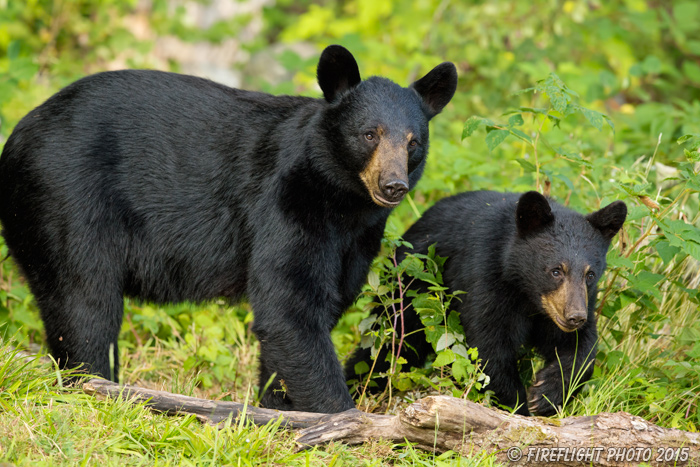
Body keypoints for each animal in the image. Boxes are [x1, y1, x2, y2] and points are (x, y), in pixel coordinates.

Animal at [0, 45, 460, 414]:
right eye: (369, 134)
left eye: (413, 142)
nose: (393, 185)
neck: (342, 202)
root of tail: (16, 137)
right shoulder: (287, 204)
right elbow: (288, 304)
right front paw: (342, 416)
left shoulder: (356, 239)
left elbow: (312, 311)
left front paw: (279, 406)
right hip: (66, 202)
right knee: (84, 301)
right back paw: (95, 387)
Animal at [348, 190, 628, 416]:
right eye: (556, 271)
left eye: (590, 274)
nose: (574, 317)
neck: (527, 294)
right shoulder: (486, 275)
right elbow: (489, 345)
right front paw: (518, 408)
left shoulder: (568, 306)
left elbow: (582, 348)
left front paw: (546, 393)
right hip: (411, 285)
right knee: (390, 344)